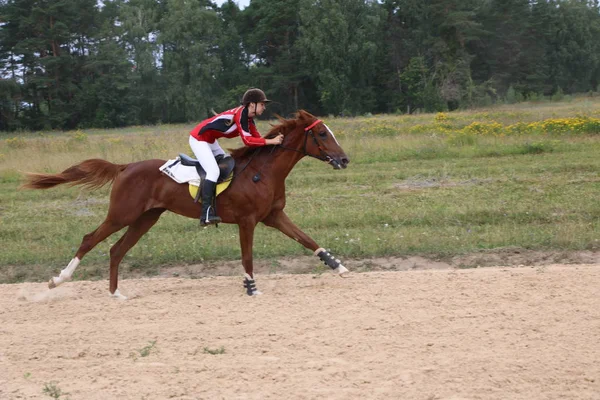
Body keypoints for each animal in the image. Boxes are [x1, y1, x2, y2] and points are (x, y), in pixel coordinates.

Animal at [22, 109, 352, 296]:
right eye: (322, 133)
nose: (345, 159)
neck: (263, 171)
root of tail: (125, 166)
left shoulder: (274, 216)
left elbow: (307, 239)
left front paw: (338, 266)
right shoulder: (247, 221)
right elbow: (247, 257)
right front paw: (251, 287)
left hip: (146, 218)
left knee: (116, 249)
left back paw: (116, 294)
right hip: (122, 214)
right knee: (90, 239)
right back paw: (58, 281)